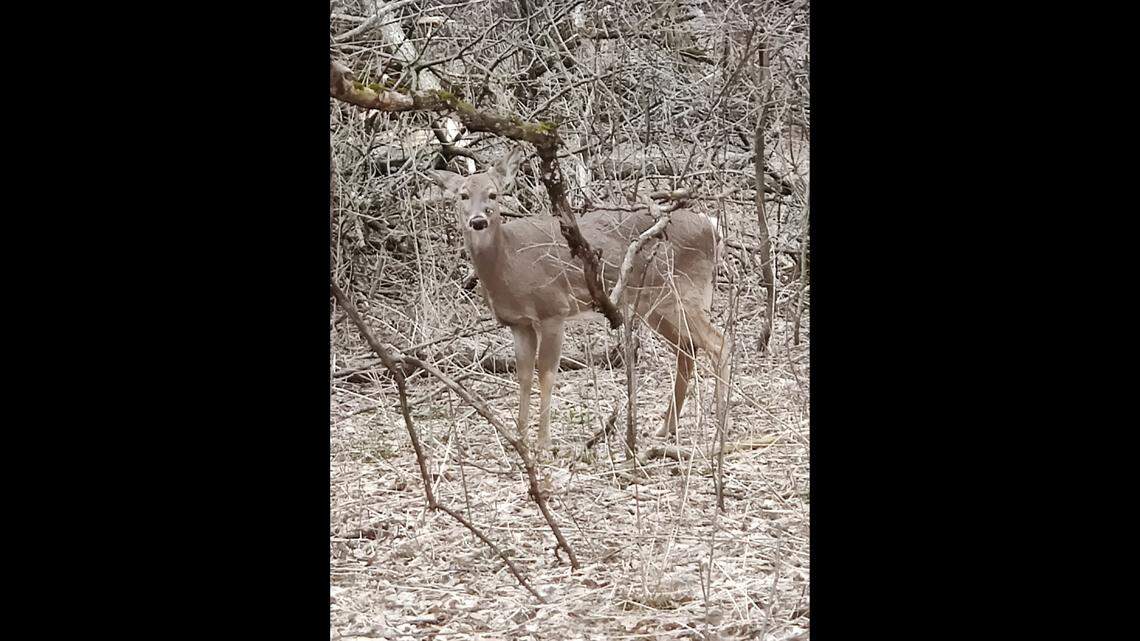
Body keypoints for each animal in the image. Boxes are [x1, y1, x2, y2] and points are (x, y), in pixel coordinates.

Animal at [428, 146, 730, 456]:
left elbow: (547, 374)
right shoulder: (519, 323)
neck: (509, 263)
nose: (478, 221)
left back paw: (719, 431)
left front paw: (543, 444)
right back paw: (666, 427)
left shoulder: (553, 309)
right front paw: (520, 438)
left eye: (493, 194)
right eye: (463, 195)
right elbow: (523, 375)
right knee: (688, 349)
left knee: (719, 342)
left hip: (684, 291)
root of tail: (712, 226)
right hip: (655, 305)